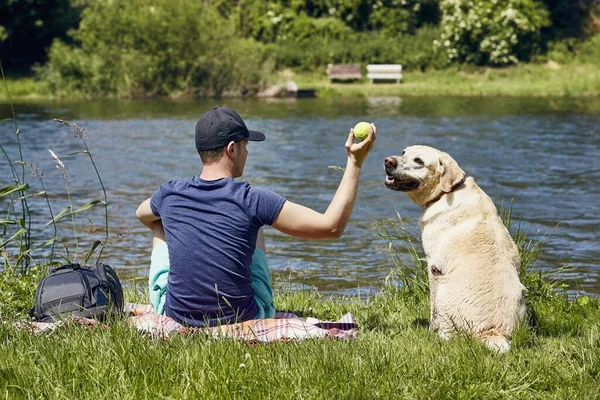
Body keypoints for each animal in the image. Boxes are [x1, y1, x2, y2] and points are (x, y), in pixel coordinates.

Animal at [384, 145, 524, 352]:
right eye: (403, 152)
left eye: (419, 161)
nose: (388, 161)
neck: (446, 192)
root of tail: (492, 331)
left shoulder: (434, 267)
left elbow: (432, 309)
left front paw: (430, 330)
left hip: (445, 293)